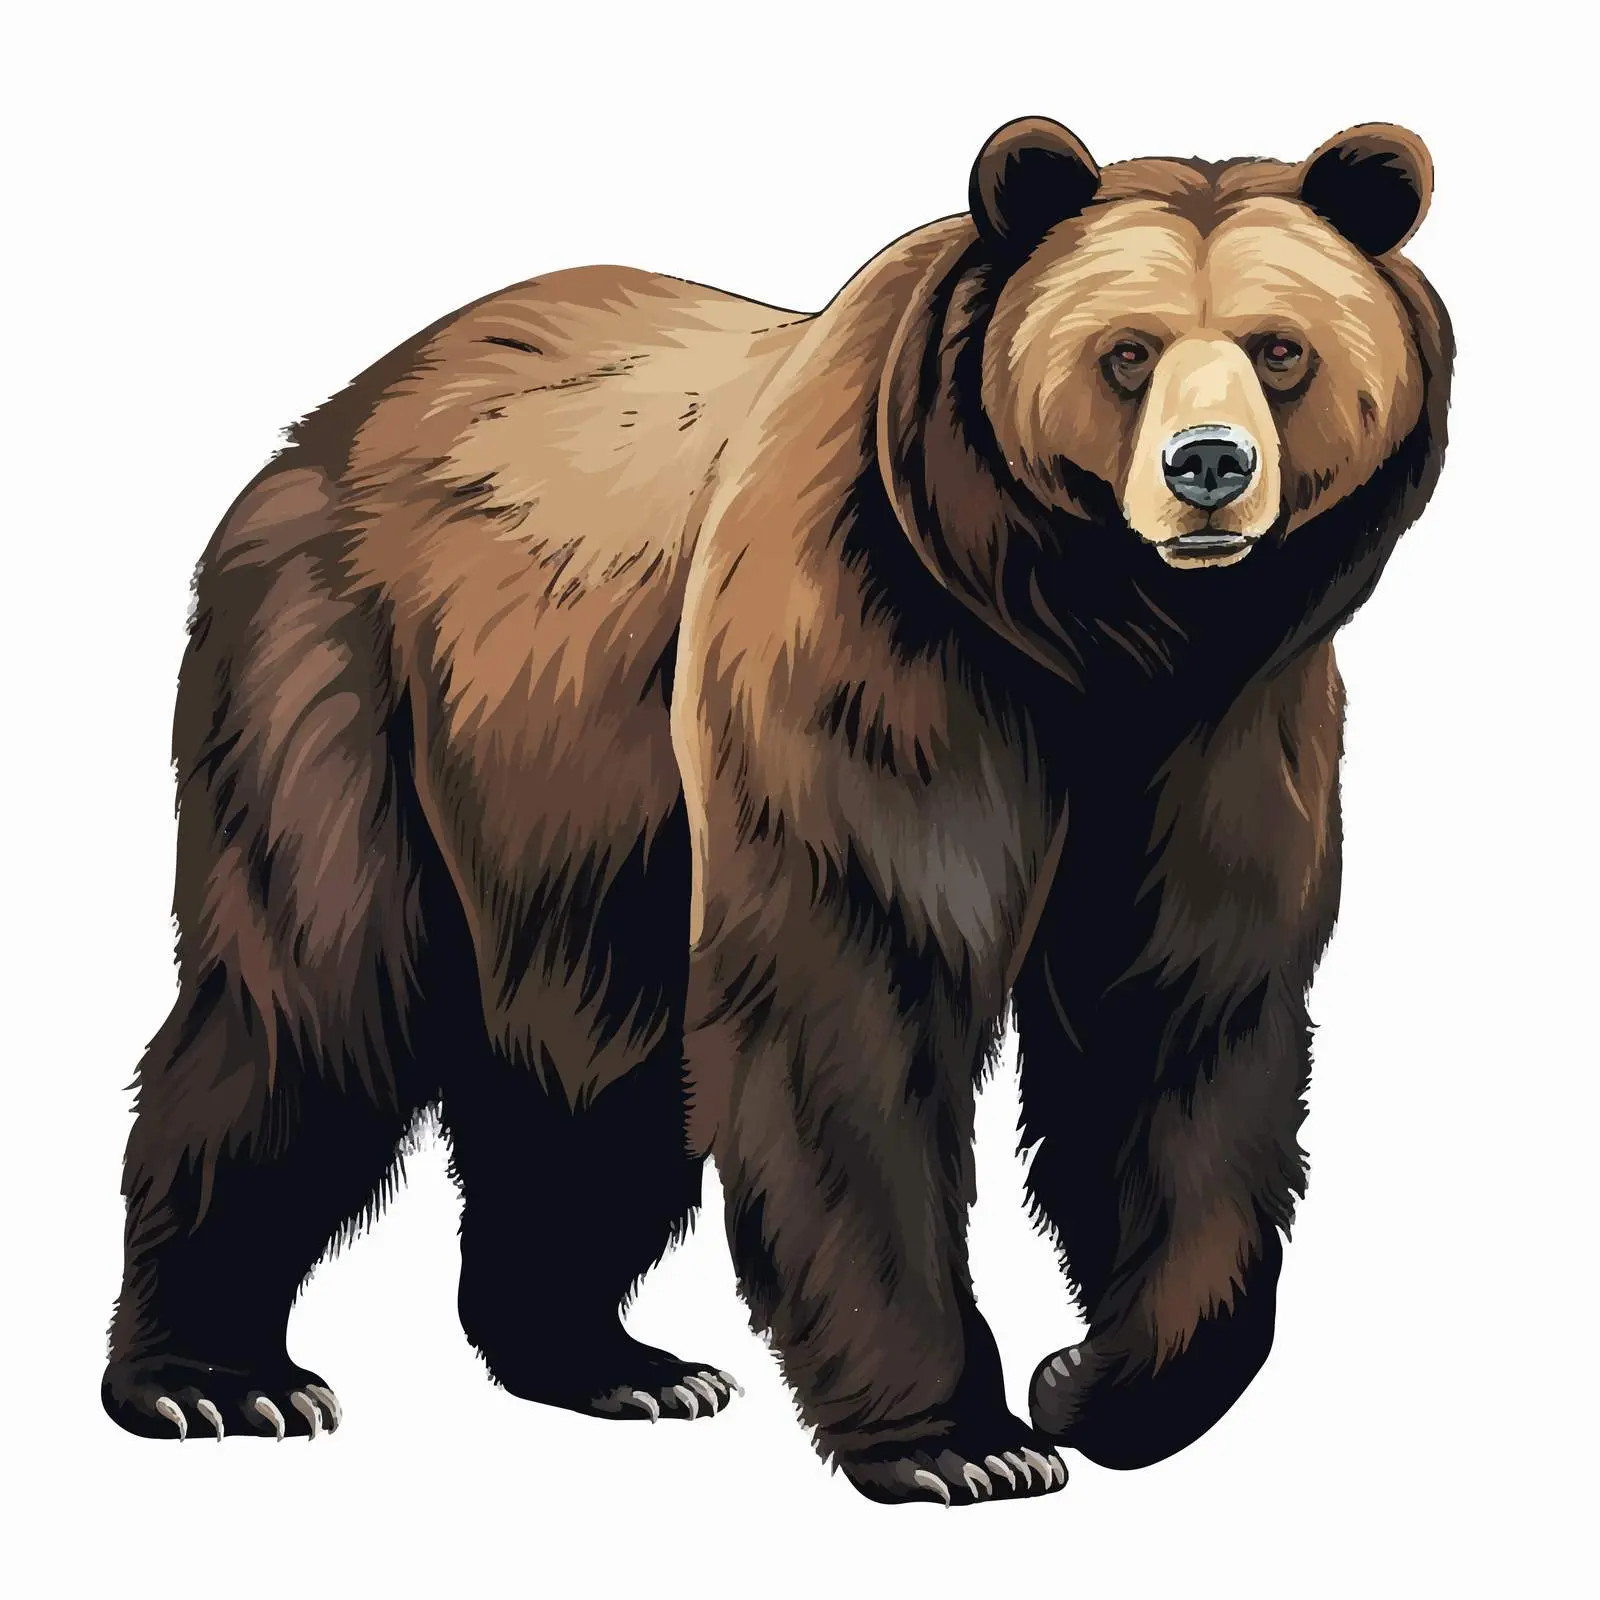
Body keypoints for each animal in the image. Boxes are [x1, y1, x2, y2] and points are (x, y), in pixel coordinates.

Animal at [104, 115, 1452, 1507]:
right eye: (1125, 351)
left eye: (1279, 347)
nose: (1209, 468)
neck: (1097, 635)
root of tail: (326, 420)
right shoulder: (873, 637)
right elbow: (857, 982)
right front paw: (963, 1440)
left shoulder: (1218, 734)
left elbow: (1179, 1016)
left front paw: (1102, 1380)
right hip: (348, 680)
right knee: (313, 997)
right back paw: (217, 1377)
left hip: (582, 815)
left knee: (600, 1064)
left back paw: (610, 1359)